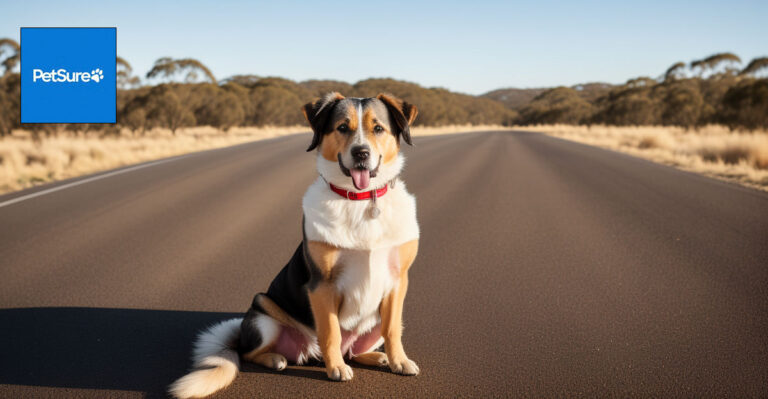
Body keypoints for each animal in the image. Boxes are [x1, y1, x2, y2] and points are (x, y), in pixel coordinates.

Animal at [170, 93, 420, 396]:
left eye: (379, 128)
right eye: (342, 127)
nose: (361, 153)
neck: (360, 199)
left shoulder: (397, 282)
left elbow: (392, 329)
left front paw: (399, 362)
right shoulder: (322, 284)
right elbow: (331, 332)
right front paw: (336, 369)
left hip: (371, 322)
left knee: (356, 349)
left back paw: (376, 357)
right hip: (264, 313)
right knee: (247, 353)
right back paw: (277, 358)